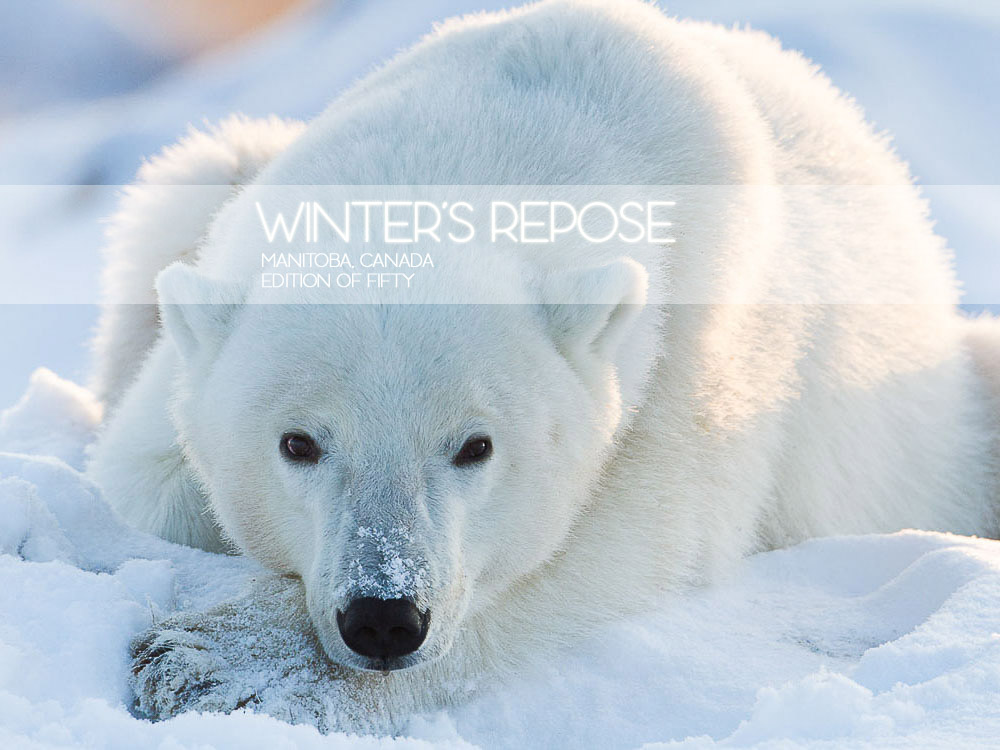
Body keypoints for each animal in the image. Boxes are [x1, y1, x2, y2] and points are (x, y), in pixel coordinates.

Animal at [88, 0, 1000, 732]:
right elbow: (147, 474)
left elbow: (606, 550)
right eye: (298, 443)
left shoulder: (694, 360)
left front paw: (211, 662)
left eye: (476, 447)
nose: (384, 618)